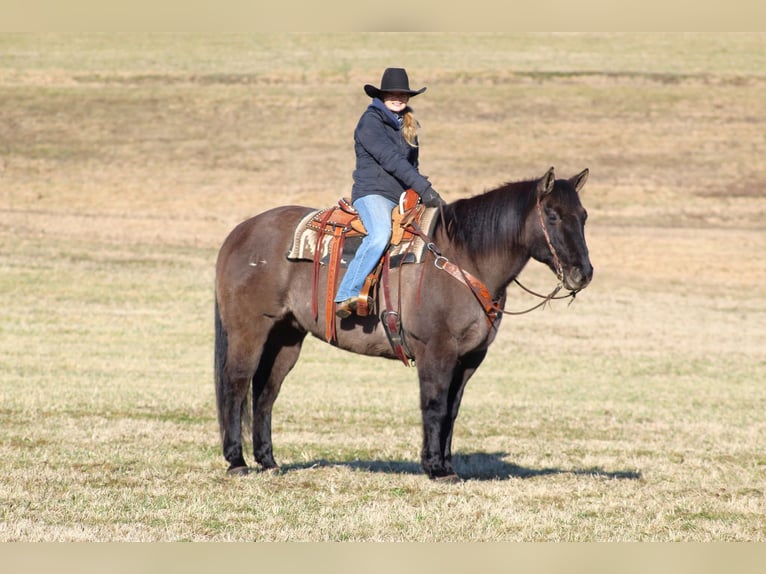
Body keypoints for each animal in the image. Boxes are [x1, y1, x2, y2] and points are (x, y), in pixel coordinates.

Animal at [213, 166, 596, 482]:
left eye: (583, 216)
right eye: (552, 215)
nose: (583, 273)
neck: (463, 260)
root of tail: (240, 232)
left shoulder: (469, 359)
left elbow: (452, 410)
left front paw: (446, 464)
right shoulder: (436, 351)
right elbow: (434, 404)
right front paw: (436, 468)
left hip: (286, 337)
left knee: (265, 392)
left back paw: (268, 462)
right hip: (250, 331)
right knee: (236, 385)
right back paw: (237, 462)